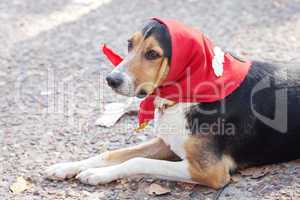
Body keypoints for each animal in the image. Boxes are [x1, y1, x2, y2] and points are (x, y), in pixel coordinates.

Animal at [45, 17, 300, 189]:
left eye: (152, 54)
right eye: (129, 44)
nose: (111, 79)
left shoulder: (209, 171)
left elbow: (137, 161)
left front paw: (97, 174)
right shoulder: (167, 142)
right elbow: (113, 153)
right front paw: (68, 166)